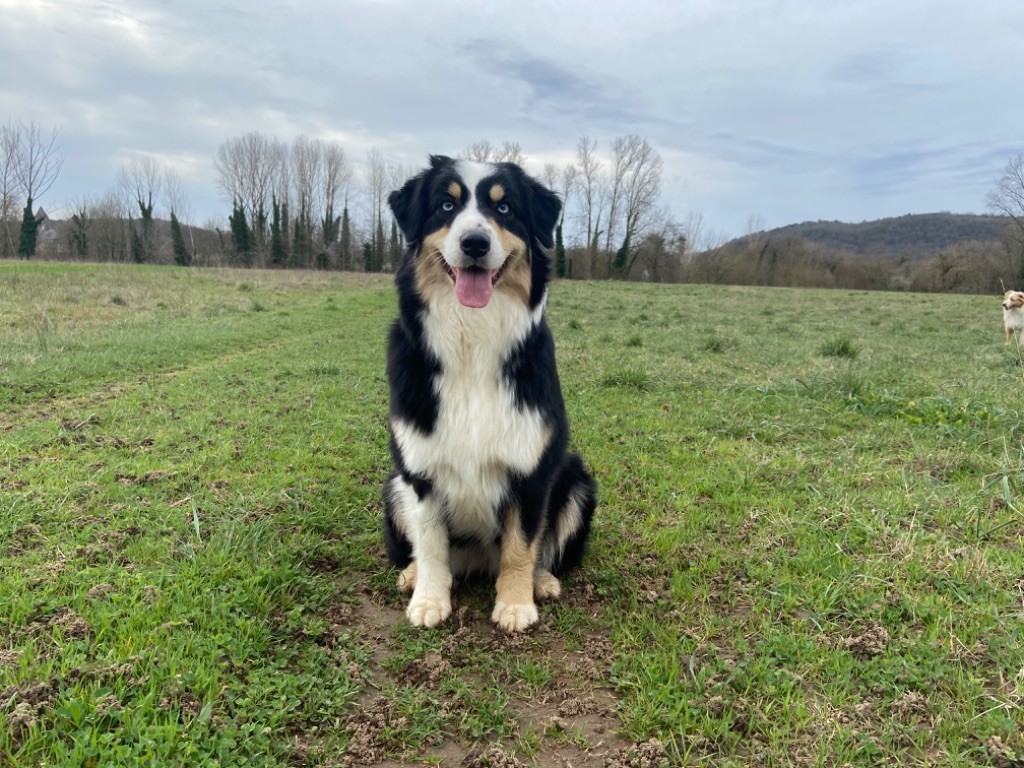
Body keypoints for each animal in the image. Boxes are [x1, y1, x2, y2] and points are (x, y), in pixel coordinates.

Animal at [380, 154, 598, 630]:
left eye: (504, 208)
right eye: (446, 205)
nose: (475, 243)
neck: (472, 339)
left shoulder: (532, 471)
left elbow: (521, 546)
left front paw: (516, 604)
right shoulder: (420, 471)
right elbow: (431, 543)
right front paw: (429, 600)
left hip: (576, 481)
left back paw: (541, 581)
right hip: (393, 485)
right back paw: (412, 575)